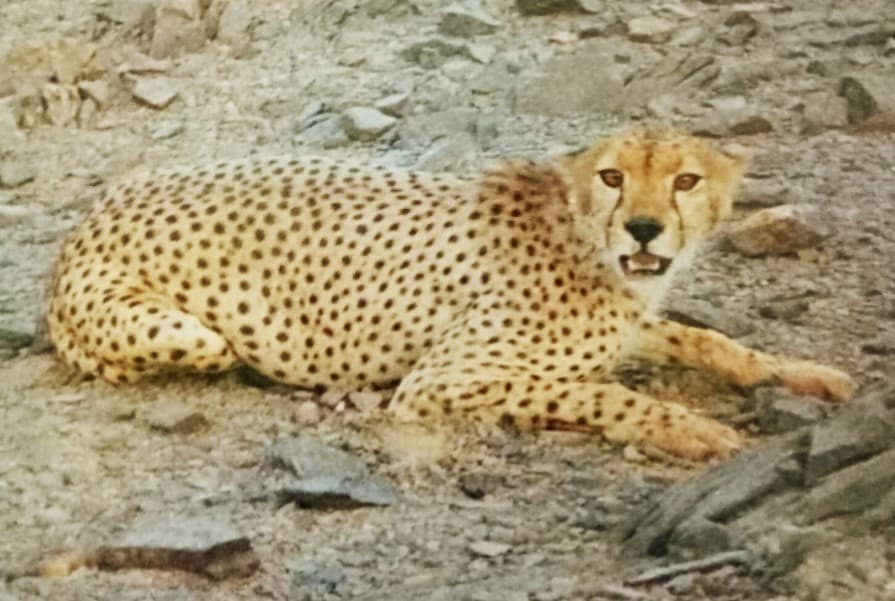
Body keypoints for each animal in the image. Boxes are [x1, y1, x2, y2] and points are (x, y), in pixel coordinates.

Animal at [46, 127, 854, 460]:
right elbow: (600, 392)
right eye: (612, 176)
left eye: (686, 179)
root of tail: (92, 212)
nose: (646, 228)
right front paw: (690, 428)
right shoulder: (440, 381)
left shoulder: (634, 321)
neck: (584, 241)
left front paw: (800, 372)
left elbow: (707, 339)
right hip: (199, 335)